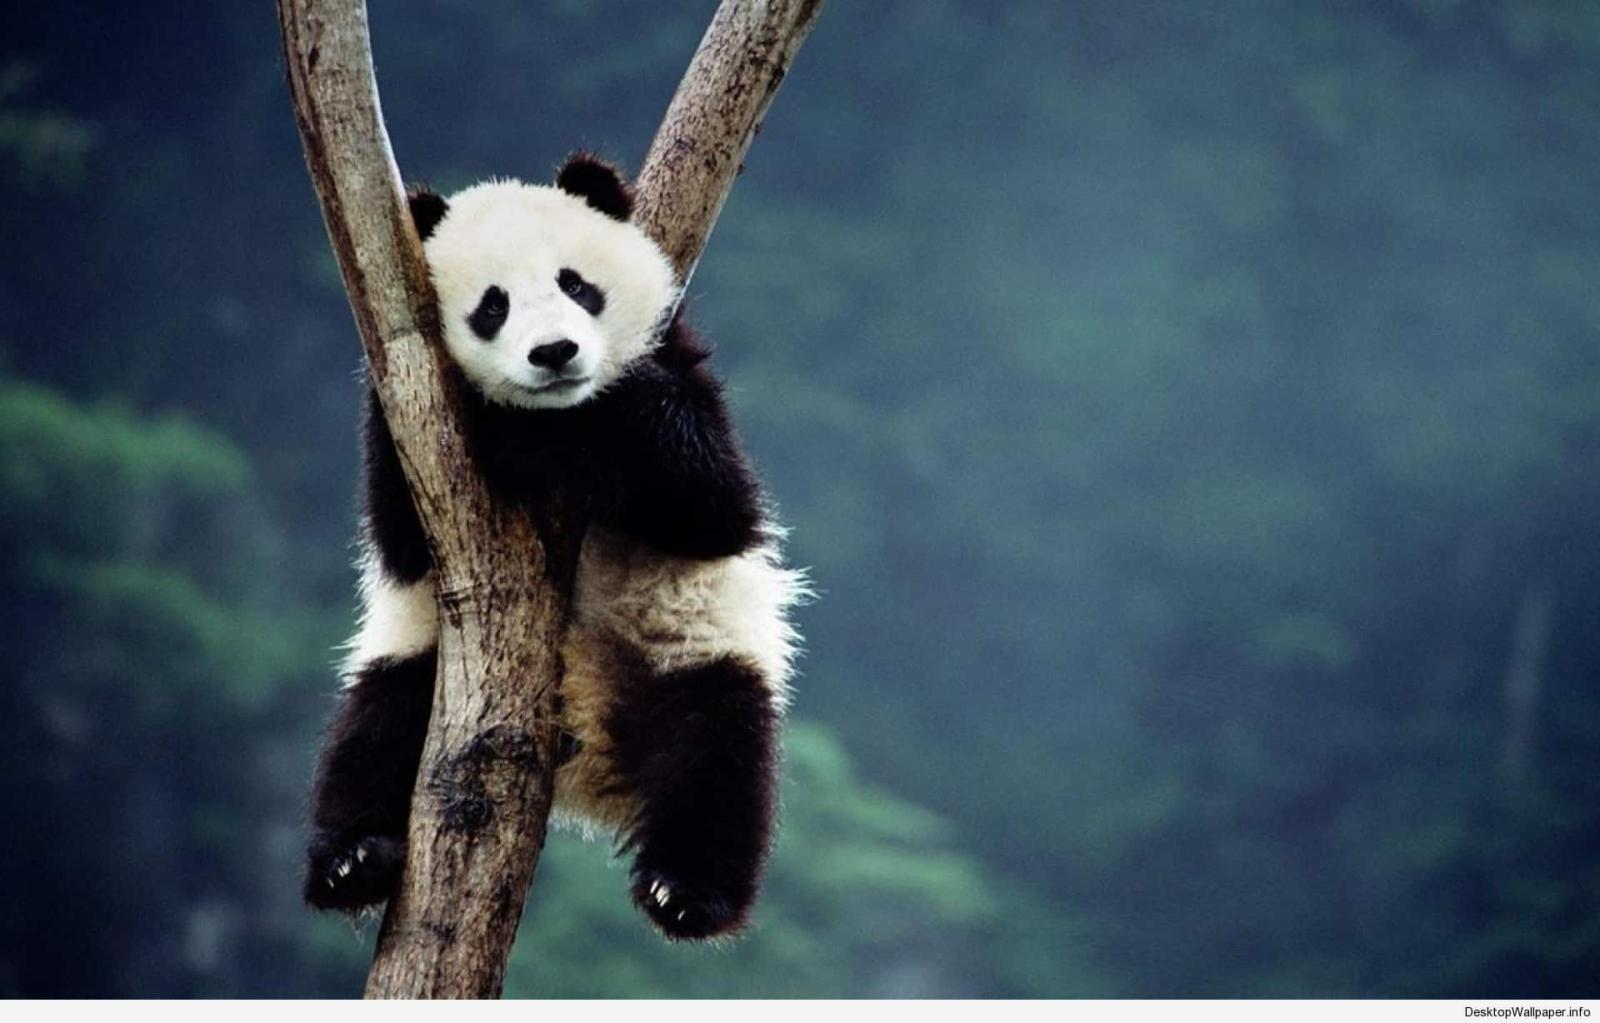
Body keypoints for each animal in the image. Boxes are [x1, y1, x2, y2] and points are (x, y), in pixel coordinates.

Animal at [303, 152, 804, 941]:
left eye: (576, 285)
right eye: (492, 307)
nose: (555, 353)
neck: (559, 418)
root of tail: (589, 756)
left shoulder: (681, 366)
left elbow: (714, 505)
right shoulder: (409, 414)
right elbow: (402, 539)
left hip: (695, 650)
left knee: (719, 759)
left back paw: (685, 891)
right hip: (421, 666)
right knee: (374, 730)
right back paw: (351, 861)